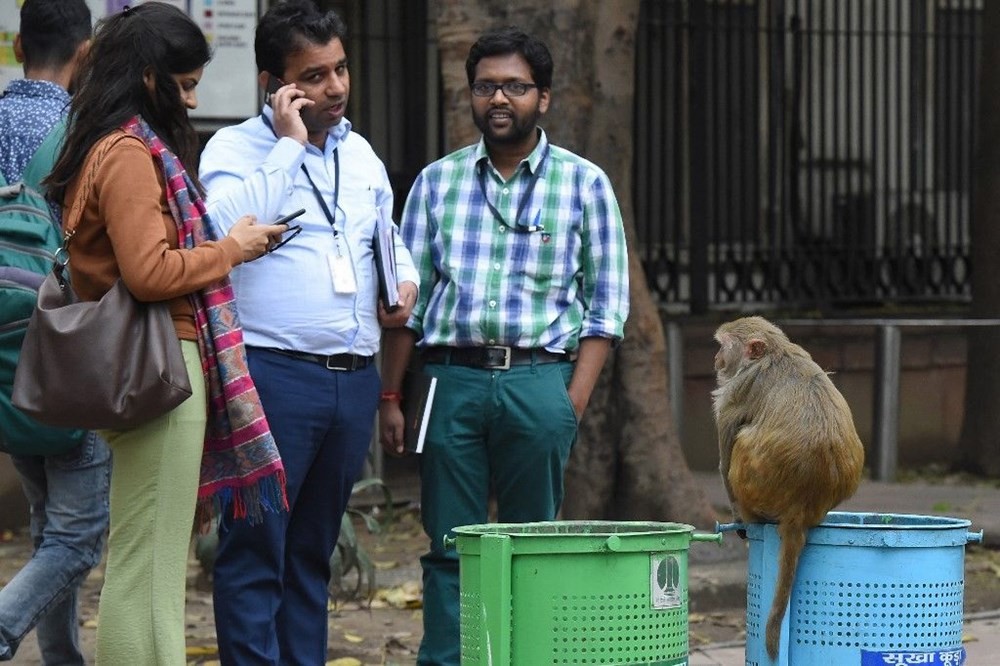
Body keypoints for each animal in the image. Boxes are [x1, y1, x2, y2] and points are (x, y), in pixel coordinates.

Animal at [708, 316, 864, 660]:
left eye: (723, 345)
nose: (716, 359)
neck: (774, 354)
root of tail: (801, 507)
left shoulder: (736, 391)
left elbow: (724, 462)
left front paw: (737, 519)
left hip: (756, 492)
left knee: (741, 441)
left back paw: (749, 518)